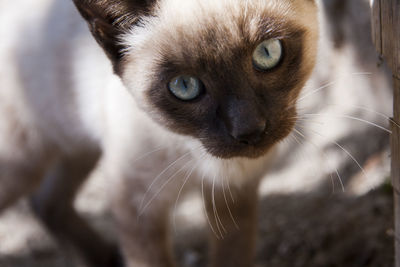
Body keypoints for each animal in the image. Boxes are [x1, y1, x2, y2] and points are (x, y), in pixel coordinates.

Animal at [0, 0, 318, 267]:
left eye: (267, 53)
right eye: (185, 86)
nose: (249, 130)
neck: (196, 155)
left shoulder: (236, 194)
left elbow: (233, 255)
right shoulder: (137, 205)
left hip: (76, 148)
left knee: (45, 203)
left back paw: (104, 258)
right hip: (22, 165)